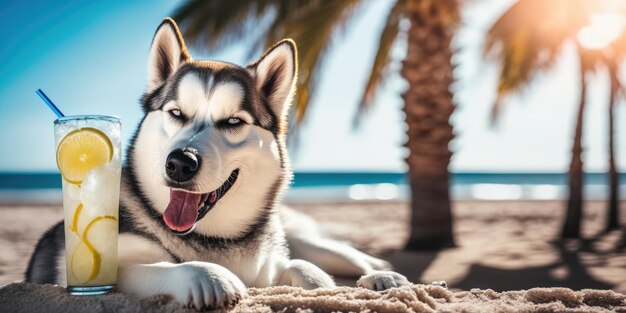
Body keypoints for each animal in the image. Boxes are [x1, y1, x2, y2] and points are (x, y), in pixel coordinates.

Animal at [25, 18, 410, 308]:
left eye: (233, 121)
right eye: (176, 113)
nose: (180, 163)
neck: (215, 240)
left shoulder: (273, 262)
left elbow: (304, 267)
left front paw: (323, 284)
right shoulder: (104, 264)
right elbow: (157, 267)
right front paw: (208, 275)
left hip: (312, 242)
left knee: (349, 257)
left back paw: (381, 274)